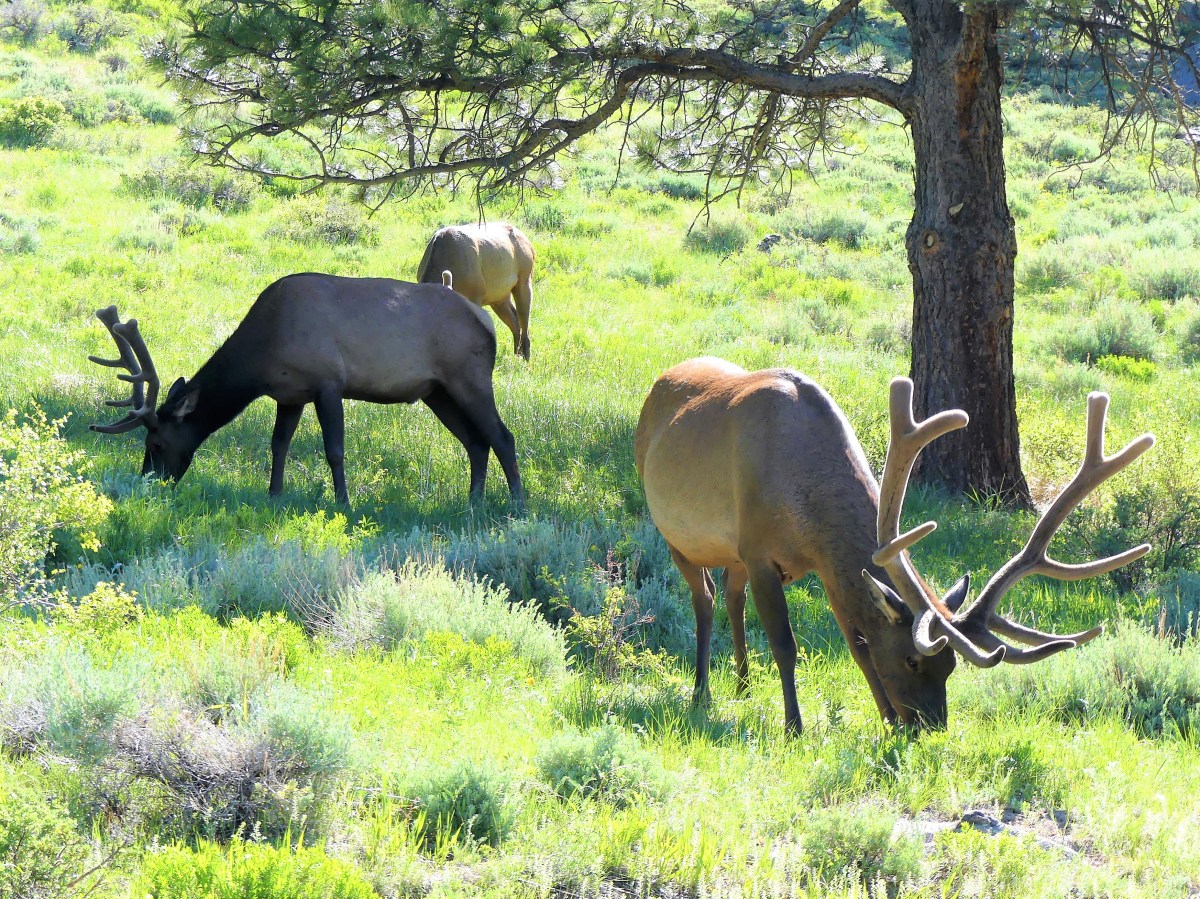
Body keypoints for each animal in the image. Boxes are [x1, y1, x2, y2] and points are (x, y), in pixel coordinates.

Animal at [88, 274, 524, 507]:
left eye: (157, 443)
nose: (148, 483)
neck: (263, 353)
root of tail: (486, 322)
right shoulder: (290, 394)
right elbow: (278, 445)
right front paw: (274, 495)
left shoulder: (328, 382)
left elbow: (334, 450)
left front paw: (343, 502)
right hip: (438, 391)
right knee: (476, 442)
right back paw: (473, 502)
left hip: (470, 376)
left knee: (503, 436)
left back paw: (517, 505)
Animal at [417, 223, 536, 361]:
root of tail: (530, 245)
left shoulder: (476, 296)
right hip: (499, 297)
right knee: (515, 323)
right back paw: (516, 358)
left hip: (525, 278)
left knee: (524, 323)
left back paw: (526, 360)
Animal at [634, 357, 1154, 734]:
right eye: (913, 658)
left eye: (950, 665)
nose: (930, 727)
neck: (805, 501)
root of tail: (659, 382)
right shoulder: (760, 551)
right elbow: (786, 645)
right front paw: (794, 728)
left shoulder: (821, 566)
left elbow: (859, 644)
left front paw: (884, 720)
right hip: (674, 532)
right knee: (705, 597)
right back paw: (701, 692)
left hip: (730, 553)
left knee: (730, 591)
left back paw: (742, 685)